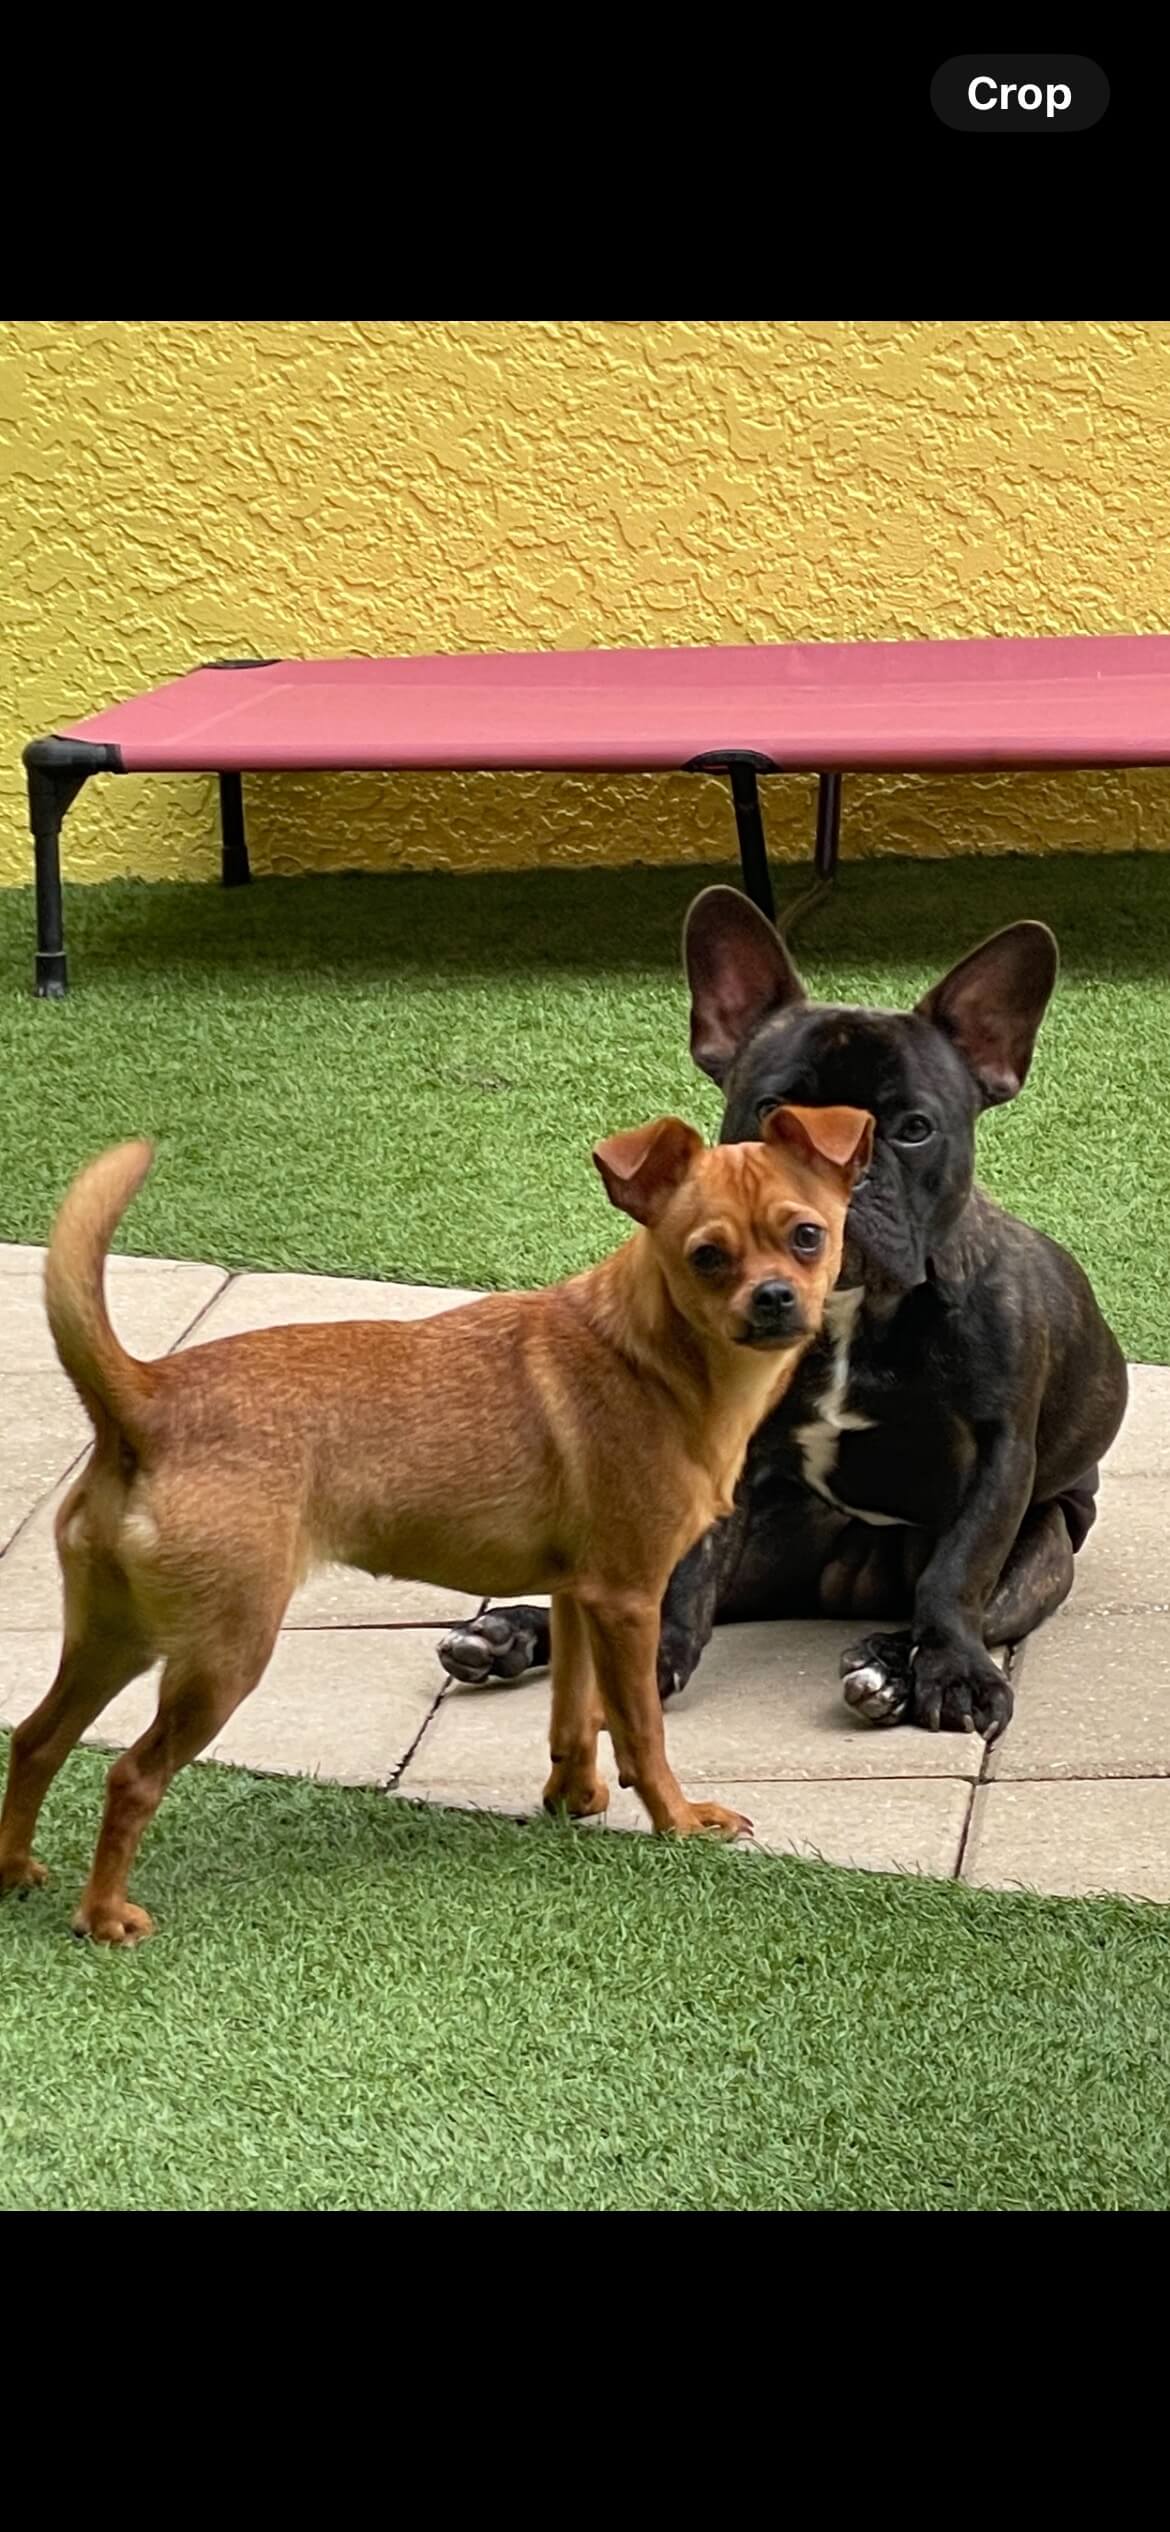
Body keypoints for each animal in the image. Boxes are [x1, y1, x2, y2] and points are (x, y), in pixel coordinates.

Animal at [0, 1100, 871, 1942]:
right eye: (707, 1257)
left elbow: (574, 1711)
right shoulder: (629, 1600)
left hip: (115, 1638)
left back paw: (14, 1871)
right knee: (131, 1775)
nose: (774, 1297)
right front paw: (679, 1821)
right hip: (220, 1657)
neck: (653, 1354)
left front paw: (572, 1796)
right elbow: (640, 1728)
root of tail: (146, 1397)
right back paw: (104, 1917)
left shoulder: (578, 1596)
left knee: (36, 1737)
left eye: (806, 1237)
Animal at [441, 885, 1128, 1742]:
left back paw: (888, 1665)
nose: (834, 1175)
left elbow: (958, 1569)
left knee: (960, 1592)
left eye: (914, 1128)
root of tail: (842, 1588)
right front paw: (653, 1664)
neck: (847, 1310)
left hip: (1045, 1549)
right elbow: (687, 1576)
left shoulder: (997, 1454)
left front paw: (951, 1674)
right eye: (771, 1113)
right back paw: (512, 1632)